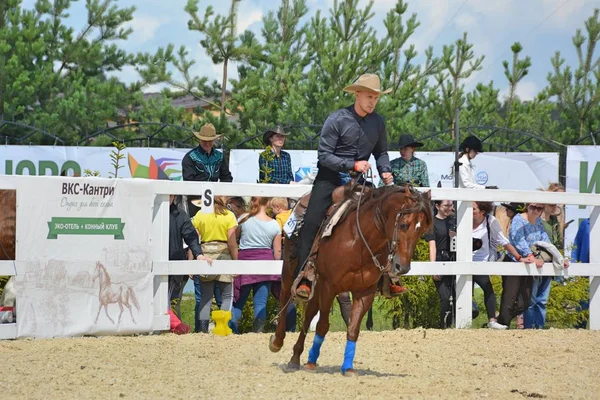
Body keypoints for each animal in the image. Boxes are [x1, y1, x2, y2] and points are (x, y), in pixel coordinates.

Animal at [268, 184, 432, 376]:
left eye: (422, 230)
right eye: (404, 225)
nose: (402, 267)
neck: (359, 242)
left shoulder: (365, 292)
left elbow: (353, 329)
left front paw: (347, 367)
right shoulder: (329, 287)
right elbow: (323, 325)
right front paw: (311, 364)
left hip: (316, 284)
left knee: (309, 314)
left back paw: (295, 358)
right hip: (290, 270)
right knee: (285, 297)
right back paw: (277, 342)